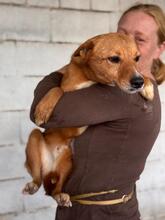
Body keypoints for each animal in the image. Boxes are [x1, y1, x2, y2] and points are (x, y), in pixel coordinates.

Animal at [22, 32, 153, 206]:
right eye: (114, 59)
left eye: (137, 58)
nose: (138, 83)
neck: (91, 79)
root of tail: (50, 167)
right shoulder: (66, 92)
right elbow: (57, 89)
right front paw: (43, 109)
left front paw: (149, 86)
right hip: (35, 138)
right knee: (37, 178)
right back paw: (33, 185)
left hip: (68, 163)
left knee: (54, 190)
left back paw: (60, 196)